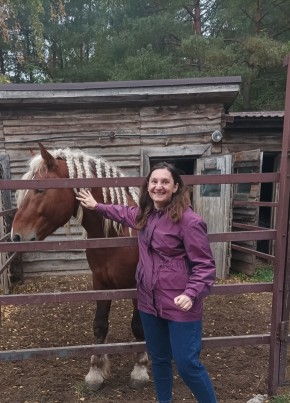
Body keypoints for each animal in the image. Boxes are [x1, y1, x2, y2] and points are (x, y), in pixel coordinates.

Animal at [10, 144, 150, 392]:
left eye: (39, 189)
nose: (15, 235)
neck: (117, 233)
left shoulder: (136, 287)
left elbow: (138, 326)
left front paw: (140, 369)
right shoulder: (100, 283)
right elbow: (100, 325)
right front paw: (95, 372)